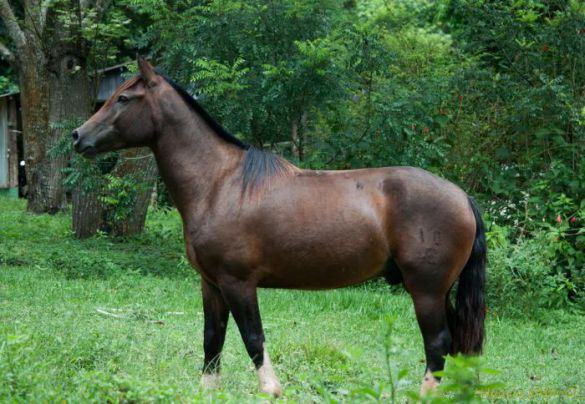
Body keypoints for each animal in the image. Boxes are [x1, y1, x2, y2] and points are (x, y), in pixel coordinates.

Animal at [72, 56, 484, 398]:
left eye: (124, 98)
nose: (78, 136)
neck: (220, 184)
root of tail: (462, 196)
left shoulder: (238, 283)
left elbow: (253, 337)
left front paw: (271, 388)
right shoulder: (211, 284)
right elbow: (212, 340)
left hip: (426, 290)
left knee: (438, 344)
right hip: (438, 291)